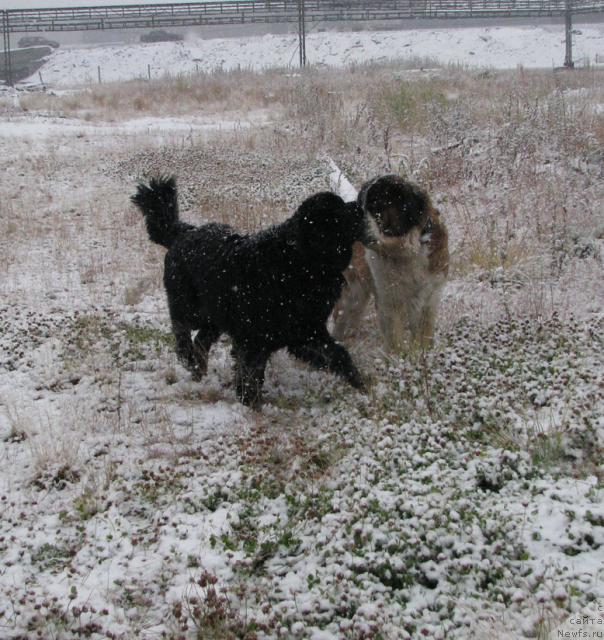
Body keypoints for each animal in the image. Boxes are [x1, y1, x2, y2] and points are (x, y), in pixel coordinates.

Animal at [132, 175, 366, 404]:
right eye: (339, 212)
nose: (360, 204)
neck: (298, 260)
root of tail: (185, 230)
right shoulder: (254, 338)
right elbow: (250, 373)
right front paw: (251, 403)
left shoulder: (306, 330)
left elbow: (337, 354)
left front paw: (361, 386)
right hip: (189, 306)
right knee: (181, 332)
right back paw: (189, 360)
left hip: (215, 315)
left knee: (201, 340)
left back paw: (199, 371)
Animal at [332, 175, 450, 352]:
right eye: (360, 203)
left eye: (376, 205)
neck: (406, 252)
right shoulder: (389, 301)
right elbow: (395, 339)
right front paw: (399, 358)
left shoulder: (430, 296)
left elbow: (424, 334)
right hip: (351, 293)